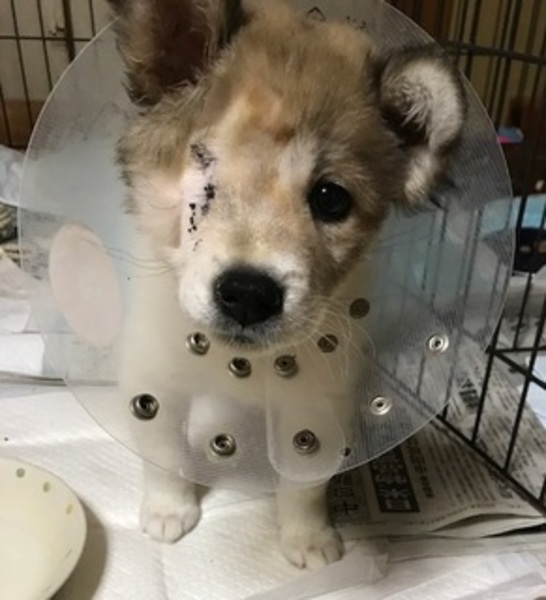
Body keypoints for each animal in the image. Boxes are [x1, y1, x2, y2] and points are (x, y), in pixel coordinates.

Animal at [109, 0, 466, 569]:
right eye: (204, 175)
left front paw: (307, 538)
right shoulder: (152, 377)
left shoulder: (316, 401)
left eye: (331, 199)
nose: (249, 294)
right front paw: (169, 510)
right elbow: (164, 450)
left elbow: (305, 479)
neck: (239, 364)